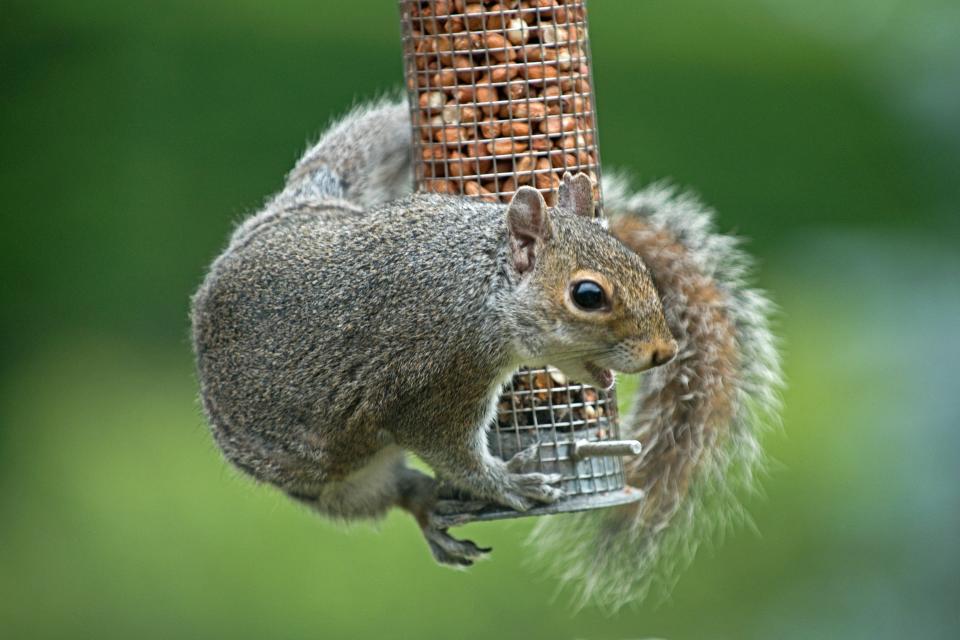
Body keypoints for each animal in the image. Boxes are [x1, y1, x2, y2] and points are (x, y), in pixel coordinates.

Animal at [193, 96, 780, 604]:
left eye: (640, 266)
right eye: (588, 296)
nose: (664, 351)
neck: (477, 281)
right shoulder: (442, 380)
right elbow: (455, 452)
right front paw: (511, 484)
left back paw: (432, 506)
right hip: (329, 478)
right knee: (386, 490)